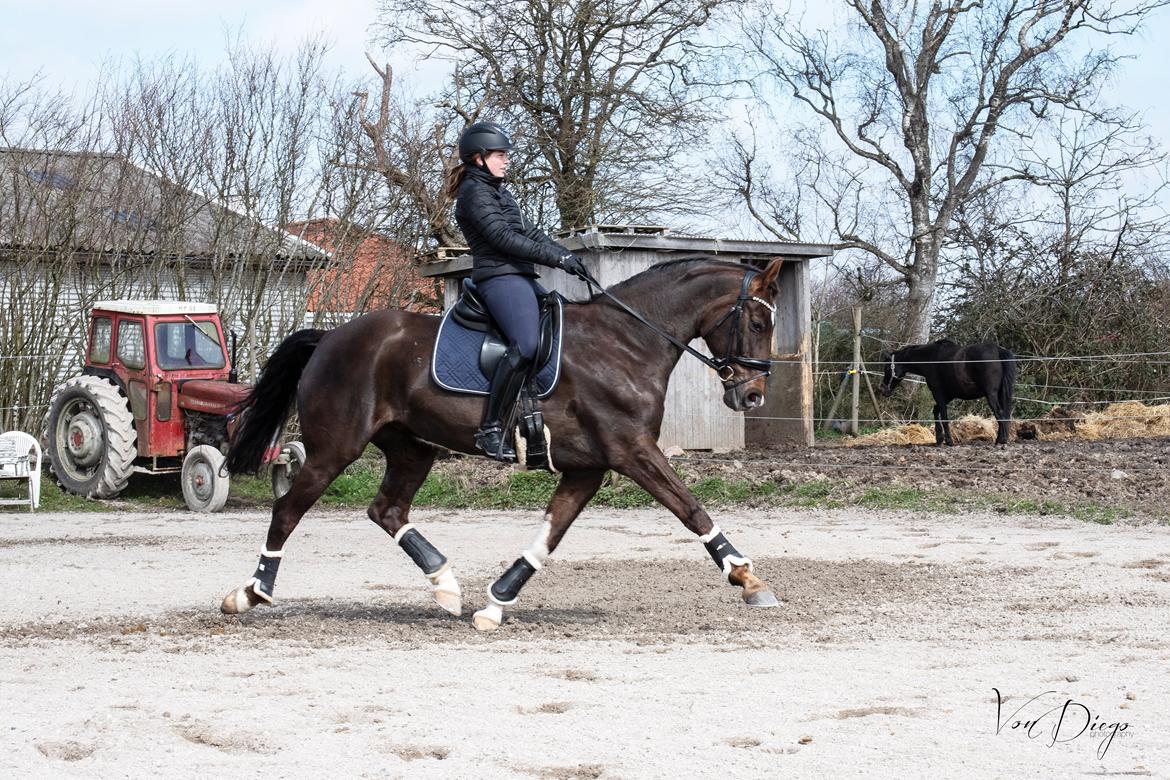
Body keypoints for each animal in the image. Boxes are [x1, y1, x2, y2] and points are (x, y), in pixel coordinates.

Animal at [219, 259, 786, 631]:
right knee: (287, 510)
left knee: (387, 509)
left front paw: (495, 603)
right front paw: (747, 578)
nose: (752, 395)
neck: (626, 344)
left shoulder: (589, 467)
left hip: (411, 448)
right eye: (758, 323)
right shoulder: (633, 452)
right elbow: (691, 510)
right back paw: (250, 593)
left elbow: (548, 537)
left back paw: (446, 586)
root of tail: (330, 337)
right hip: (335, 447)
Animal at [879, 336, 1015, 444]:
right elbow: (936, 411)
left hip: (991, 395)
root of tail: (998, 350)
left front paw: (948, 441)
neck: (931, 358)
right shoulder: (949, 395)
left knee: (1000, 414)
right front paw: (939, 438)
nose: (883, 389)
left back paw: (1001, 441)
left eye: (887, 368)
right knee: (1004, 414)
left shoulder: (938, 393)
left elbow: (944, 416)